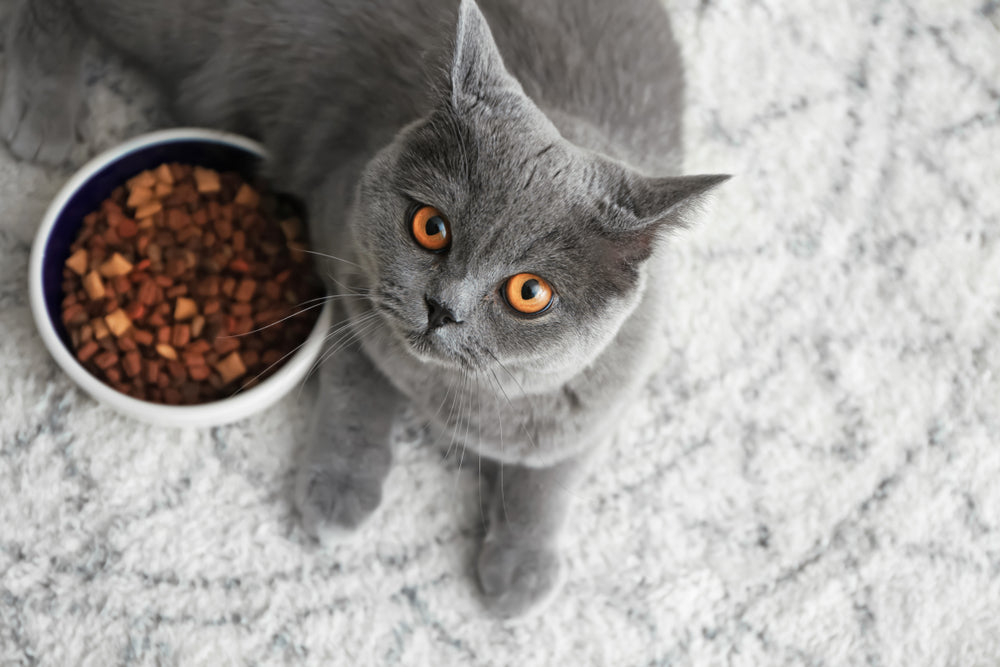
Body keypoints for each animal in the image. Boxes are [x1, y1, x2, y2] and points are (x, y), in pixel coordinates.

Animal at [3, 0, 732, 616]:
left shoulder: (604, 391)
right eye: (430, 227)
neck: (450, 392)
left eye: (530, 292)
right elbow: (361, 385)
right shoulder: (340, 253)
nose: (442, 307)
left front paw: (521, 569)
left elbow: (551, 475)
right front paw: (341, 488)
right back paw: (43, 115)